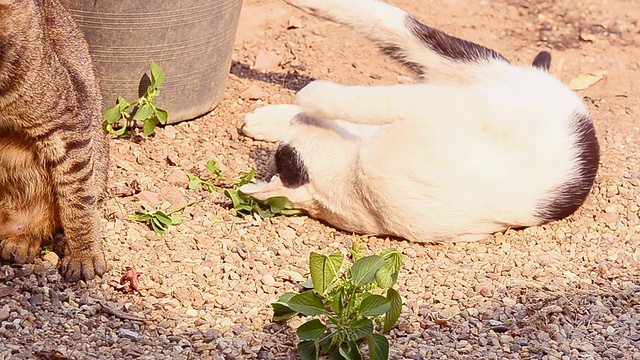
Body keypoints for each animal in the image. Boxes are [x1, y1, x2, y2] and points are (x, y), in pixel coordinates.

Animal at [238, 0, 596, 243]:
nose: (296, 121)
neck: (358, 188)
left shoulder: (426, 109)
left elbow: (357, 102)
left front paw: (301, 102)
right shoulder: (426, 110)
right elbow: (366, 104)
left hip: (467, 70)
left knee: (394, 25)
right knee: (394, 25)